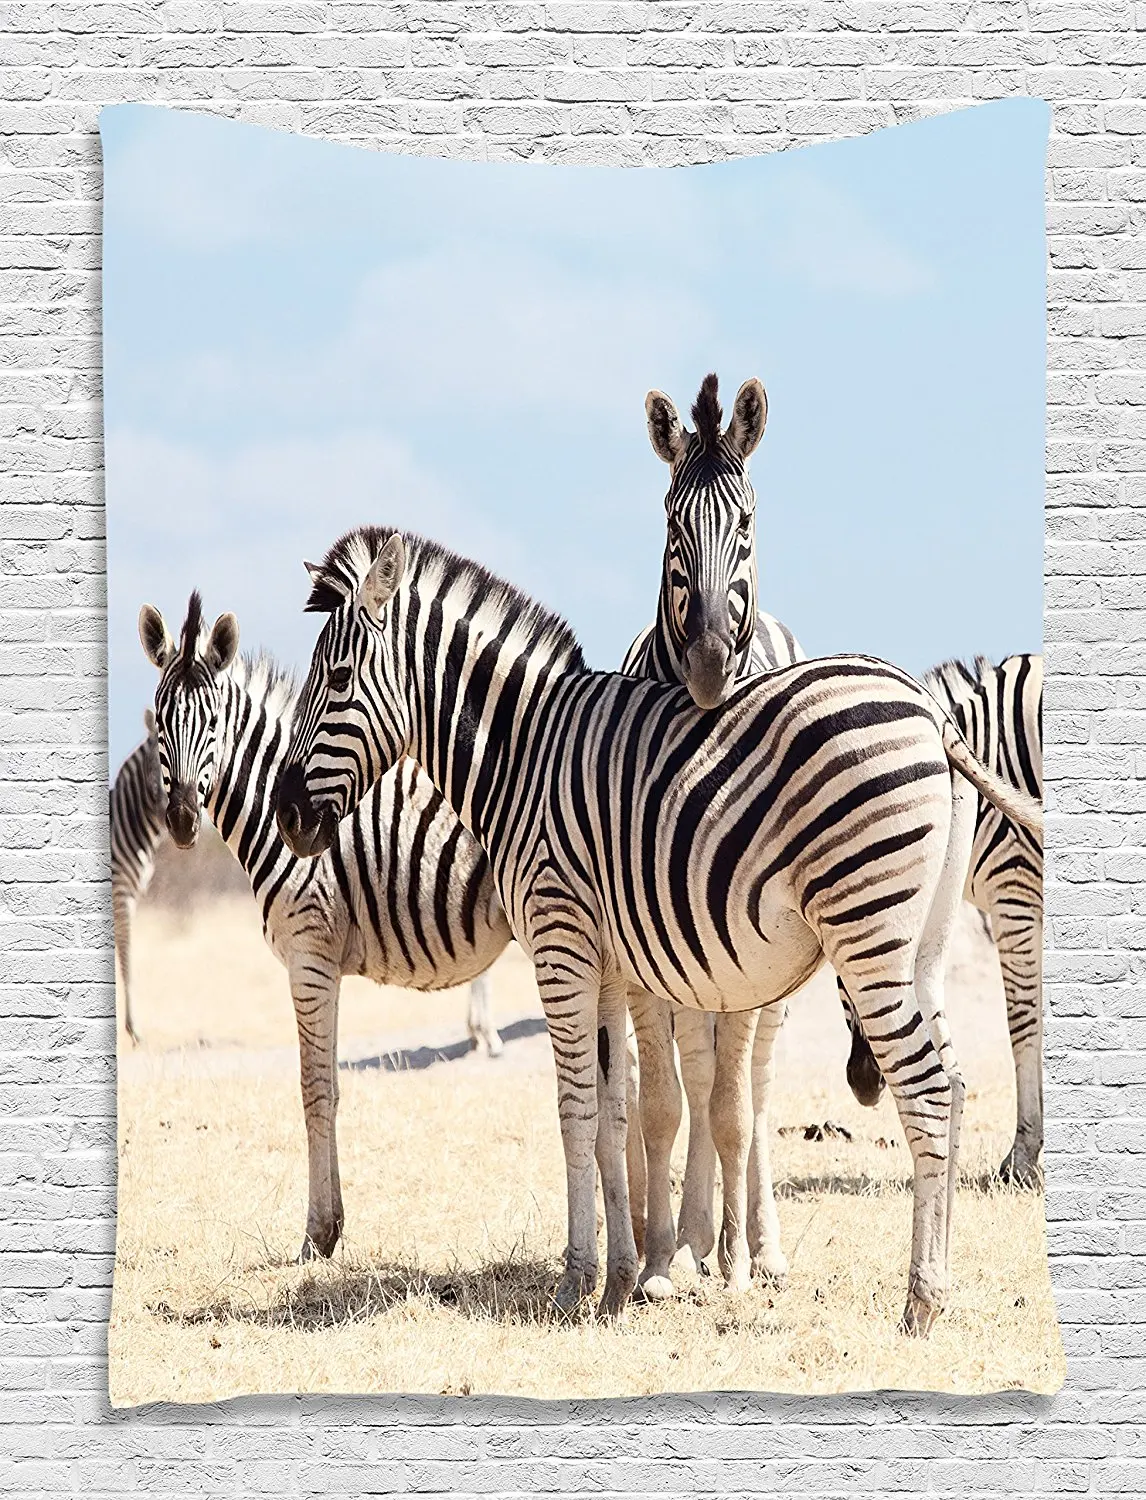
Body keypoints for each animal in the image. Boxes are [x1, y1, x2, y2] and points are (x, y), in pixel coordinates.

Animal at [138, 591, 511, 1261]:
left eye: (212, 723)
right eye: (159, 724)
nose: (181, 821)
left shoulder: (308, 955)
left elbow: (312, 1088)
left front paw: (315, 1236)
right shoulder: (325, 965)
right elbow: (332, 1086)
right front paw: (334, 1225)